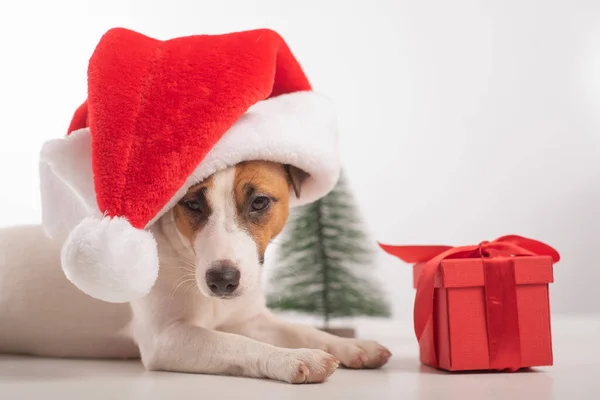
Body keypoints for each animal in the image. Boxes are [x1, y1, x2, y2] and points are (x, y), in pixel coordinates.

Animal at [0, 161, 392, 382]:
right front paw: (293, 358)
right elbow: (238, 344)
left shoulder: (251, 318)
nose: (222, 281)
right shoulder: (167, 339)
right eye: (191, 204)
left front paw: (352, 345)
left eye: (260, 202)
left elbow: (301, 330)